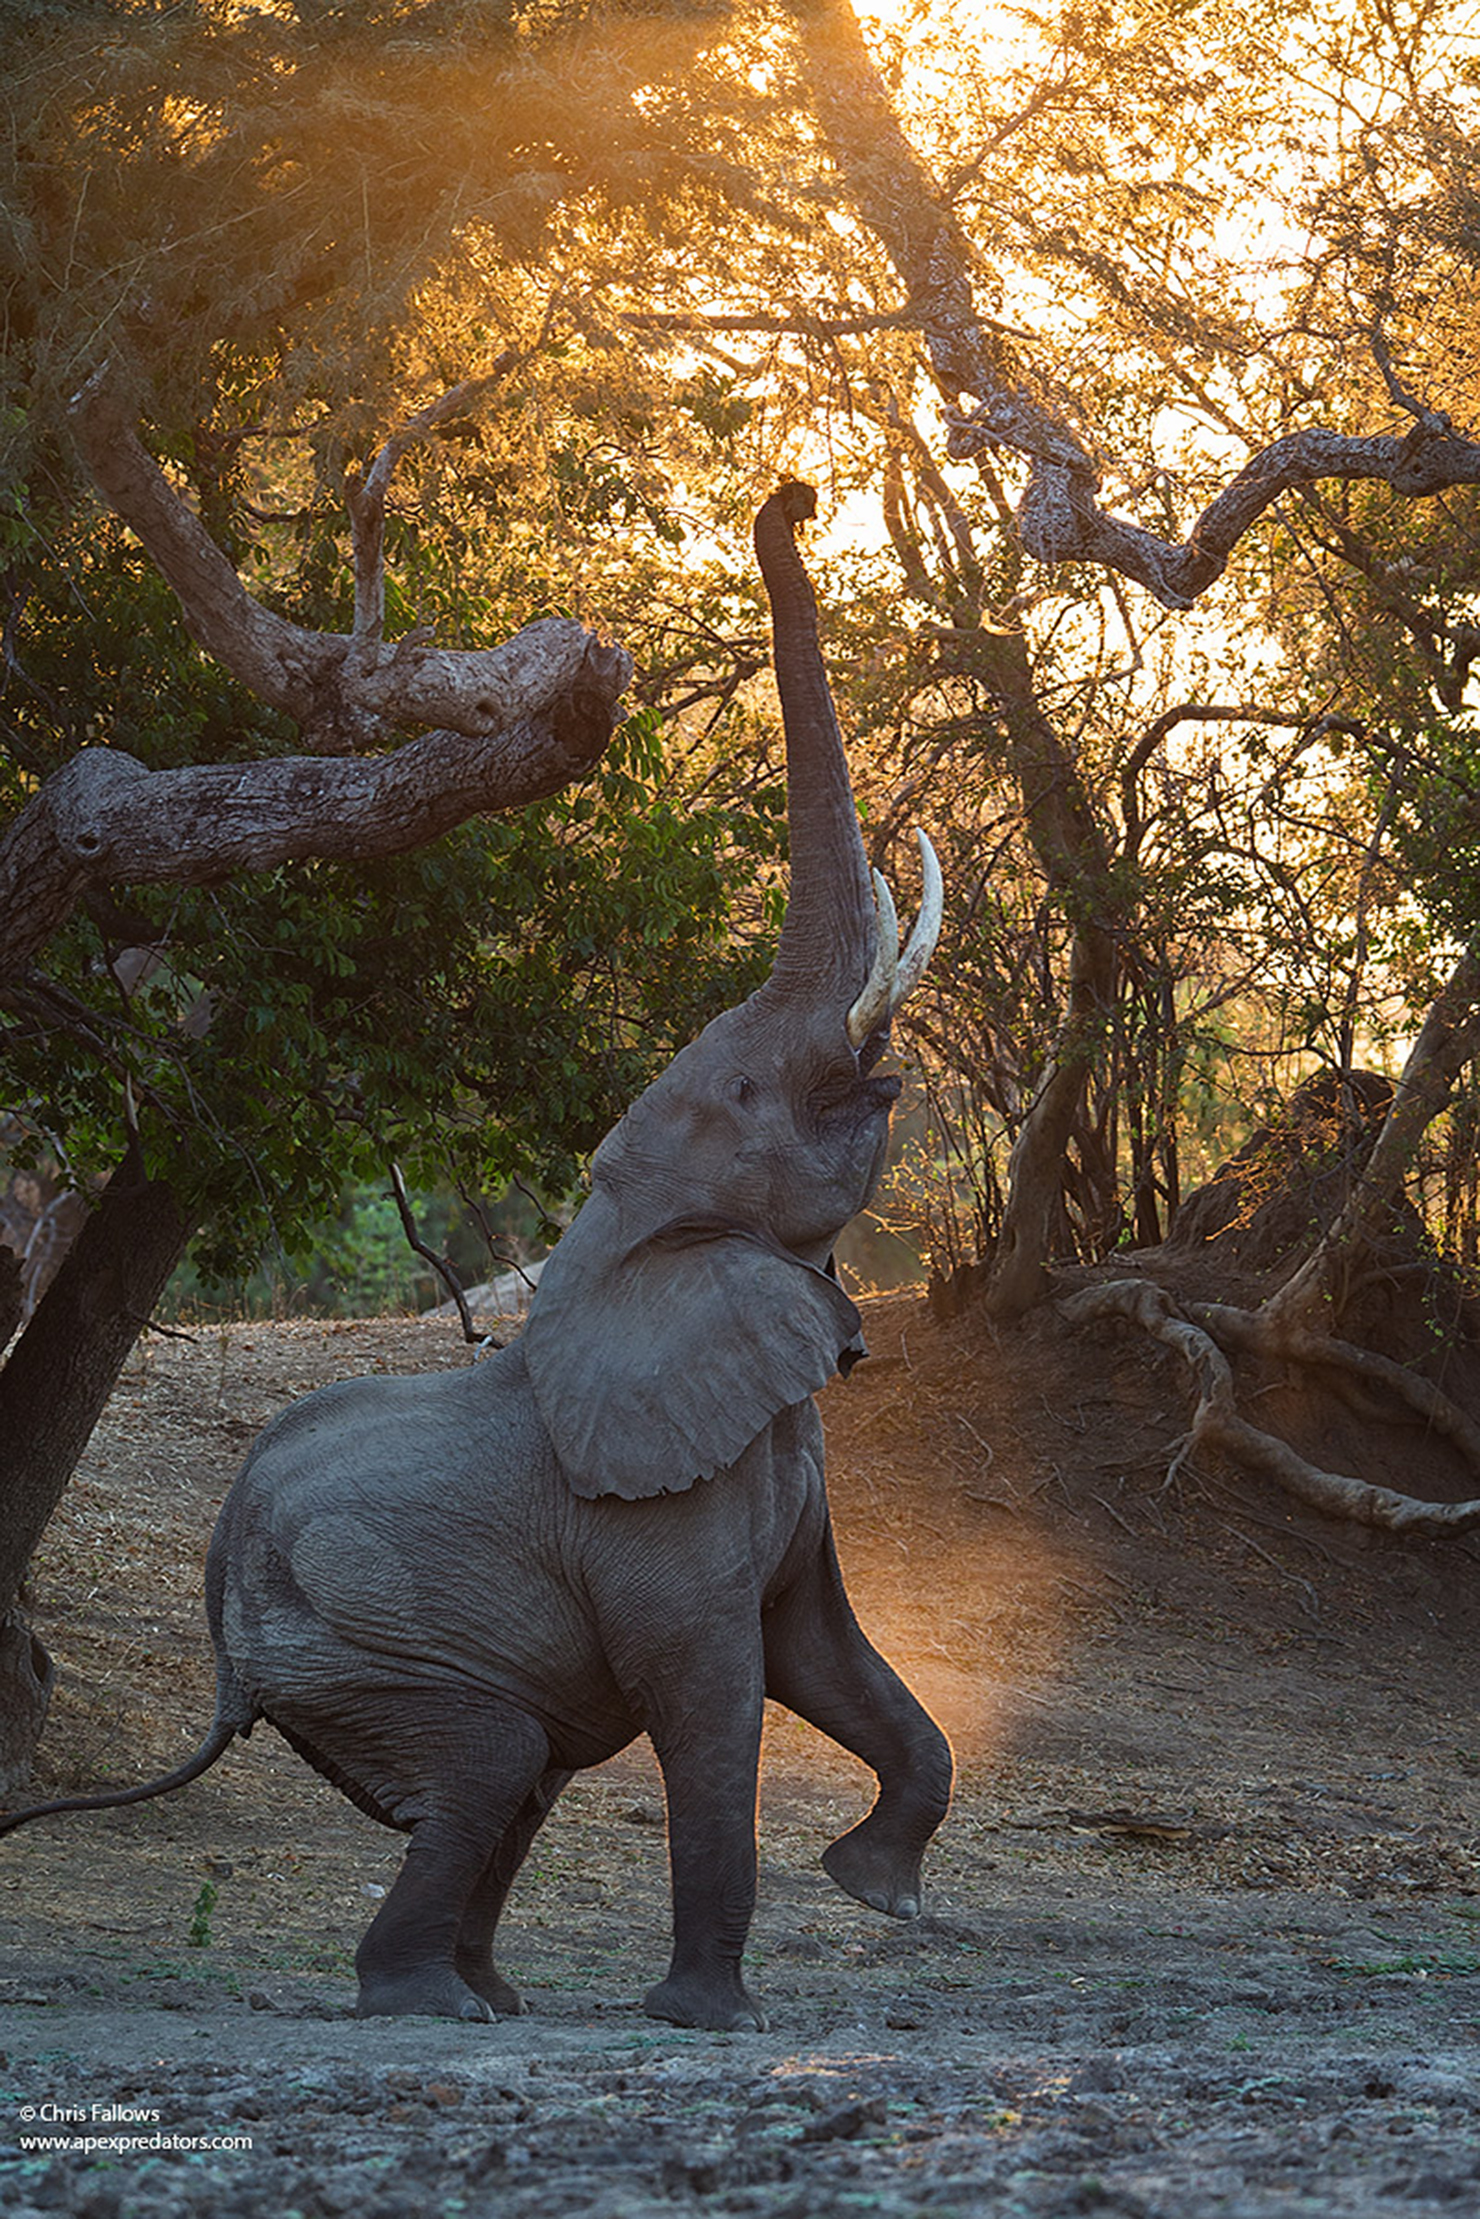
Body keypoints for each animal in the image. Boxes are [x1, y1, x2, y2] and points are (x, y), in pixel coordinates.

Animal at [0, 482, 953, 2033]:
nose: (795, 494)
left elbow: (825, 1649)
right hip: (359, 1636)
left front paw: (879, 1891)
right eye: (751, 1091)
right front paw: (711, 2018)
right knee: (499, 1762)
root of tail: (220, 1649)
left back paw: (487, 1994)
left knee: (523, 1780)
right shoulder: (653, 1514)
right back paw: (427, 2003)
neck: (626, 1235)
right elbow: (714, 1691)